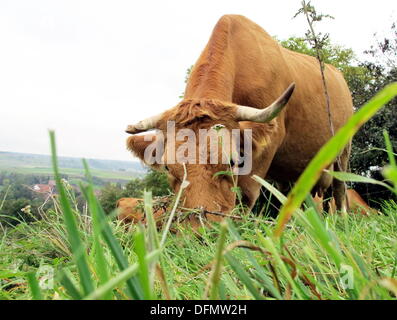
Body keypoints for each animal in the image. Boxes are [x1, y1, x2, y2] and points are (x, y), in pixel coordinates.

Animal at [124, 15, 352, 222]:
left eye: (232, 161)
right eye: (168, 168)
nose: (199, 228)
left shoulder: (264, 149)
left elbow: (246, 194)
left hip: (343, 153)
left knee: (339, 189)